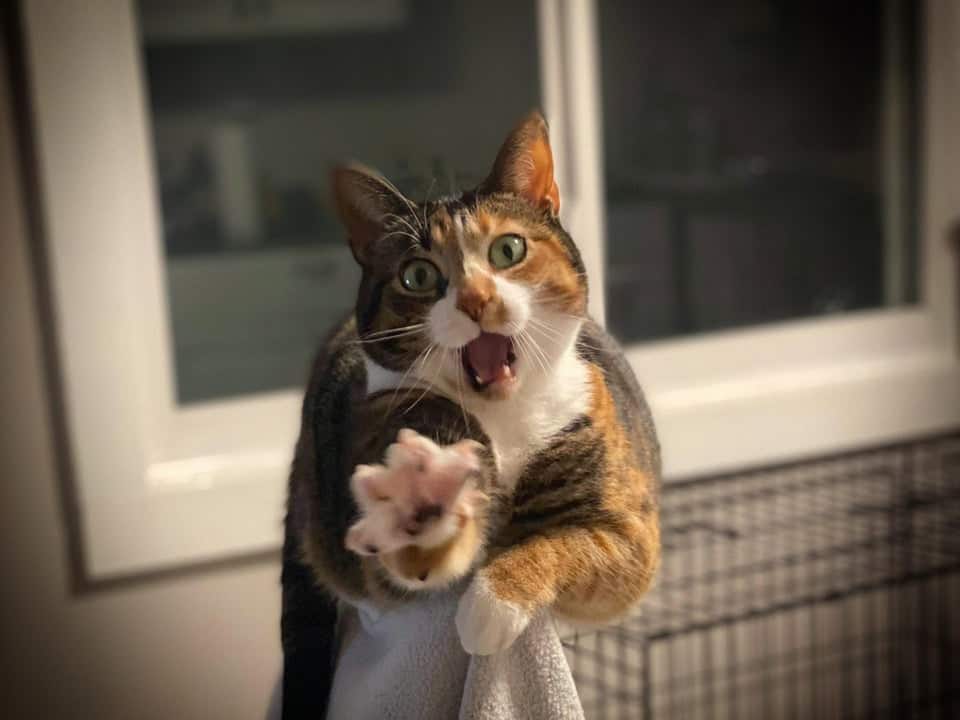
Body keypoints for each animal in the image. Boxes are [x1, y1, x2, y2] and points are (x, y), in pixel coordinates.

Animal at [280, 109, 660, 716]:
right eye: (417, 276)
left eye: (508, 250)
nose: (477, 299)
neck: (503, 417)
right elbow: (400, 569)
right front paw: (424, 500)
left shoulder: (628, 531)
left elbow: (573, 544)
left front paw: (492, 604)